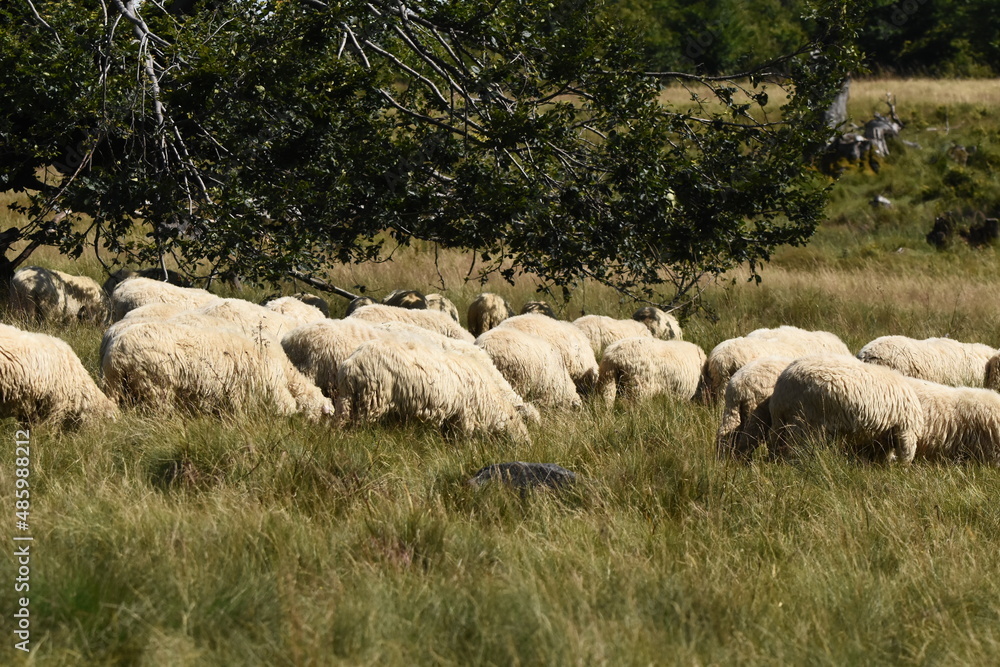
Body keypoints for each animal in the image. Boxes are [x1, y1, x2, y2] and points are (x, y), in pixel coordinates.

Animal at [768, 355, 923, 464]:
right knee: (796, 450)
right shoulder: (905, 429)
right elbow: (905, 456)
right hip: (805, 423)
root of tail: (783, 386)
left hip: (780, 422)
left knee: (776, 444)